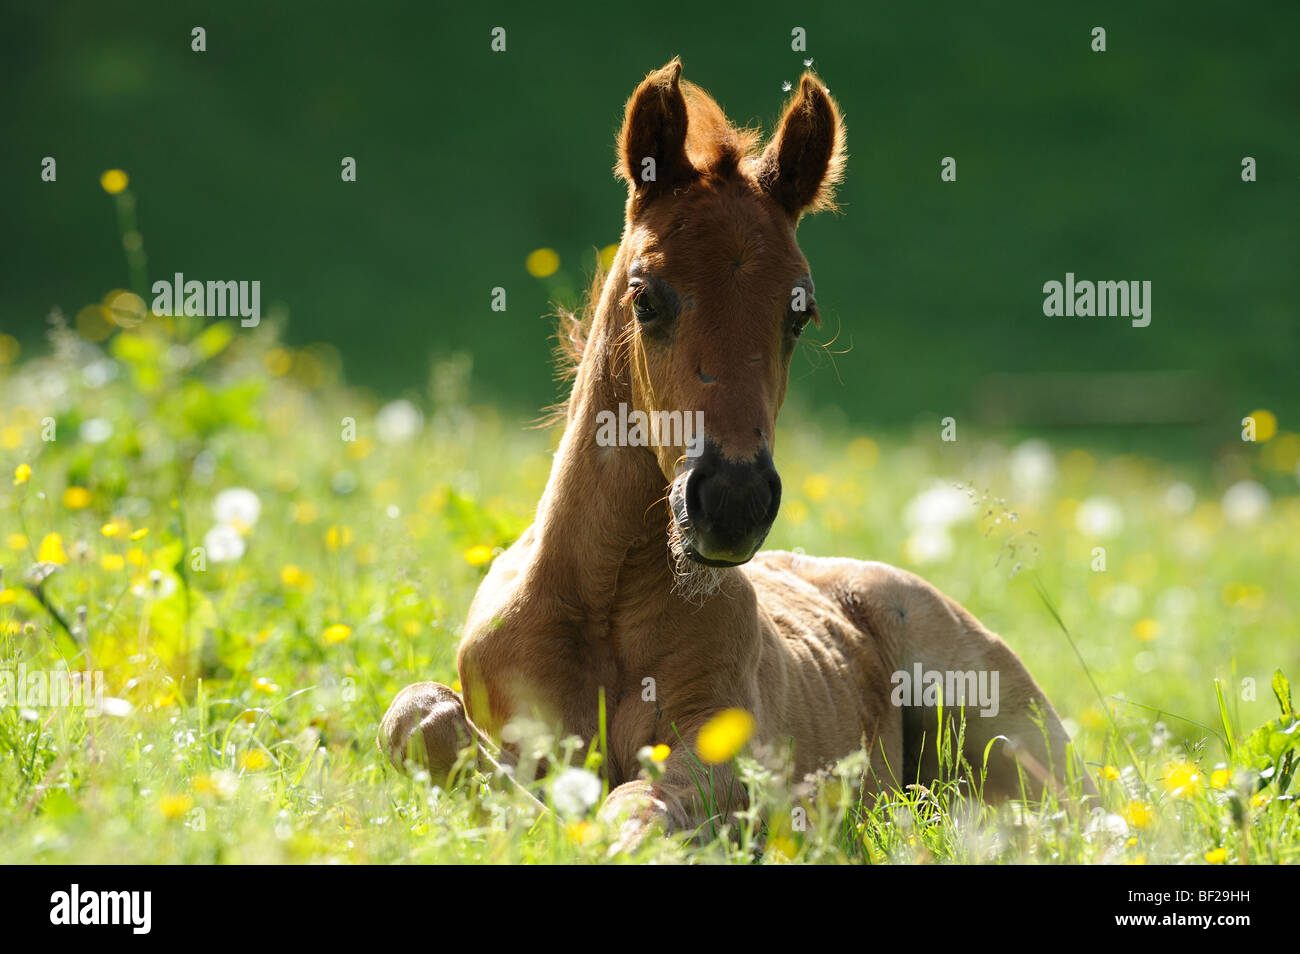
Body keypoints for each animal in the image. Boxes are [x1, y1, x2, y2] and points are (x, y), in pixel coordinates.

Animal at [379, 57, 1092, 837]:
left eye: (800, 313)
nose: (732, 501)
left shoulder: (729, 752)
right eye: (646, 297)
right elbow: (418, 716)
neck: (604, 607)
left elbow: (637, 806)